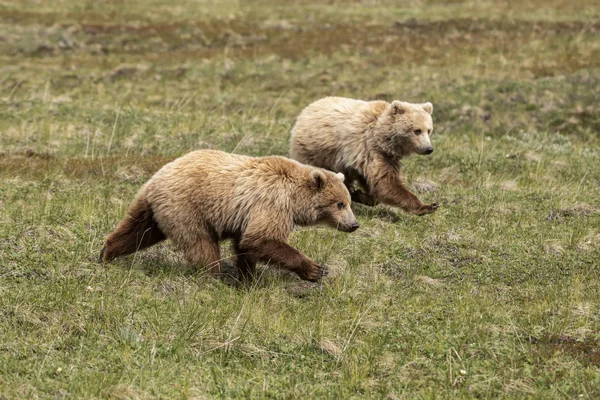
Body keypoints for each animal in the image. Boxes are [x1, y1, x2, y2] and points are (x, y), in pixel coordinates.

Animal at [100, 148, 358, 282]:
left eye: (348, 202)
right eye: (339, 204)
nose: (354, 224)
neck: (294, 200)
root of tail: (156, 177)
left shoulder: (247, 215)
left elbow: (245, 244)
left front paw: (248, 279)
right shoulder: (273, 204)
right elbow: (261, 239)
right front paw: (315, 269)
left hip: (155, 209)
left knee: (137, 231)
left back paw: (106, 253)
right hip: (188, 209)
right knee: (202, 245)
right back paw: (213, 277)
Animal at [290, 97, 436, 216]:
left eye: (429, 130)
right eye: (417, 131)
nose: (429, 149)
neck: (383, 138)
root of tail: (305, 111)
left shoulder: (379, 157)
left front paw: (360, 195)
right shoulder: (371, 149)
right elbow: (386, 183)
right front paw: (428, 207)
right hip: (317, 153)